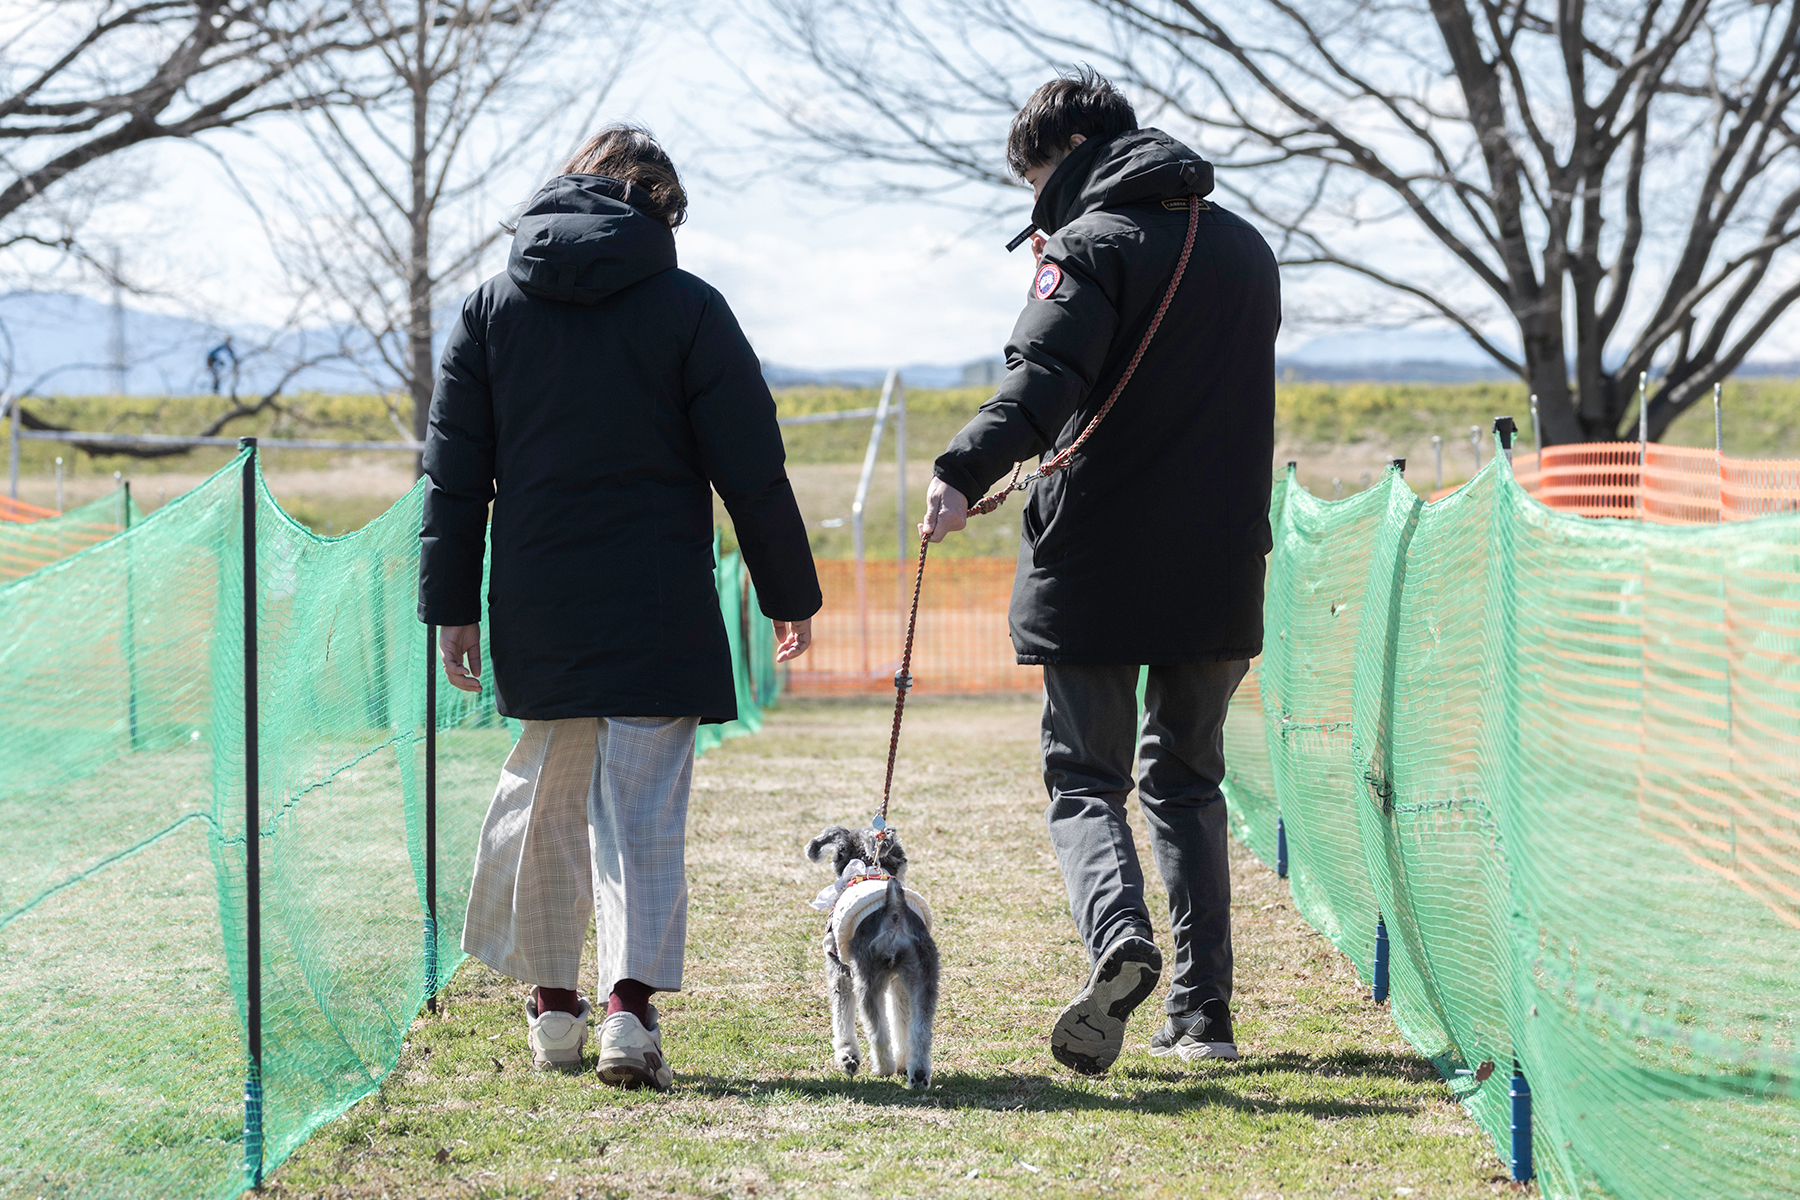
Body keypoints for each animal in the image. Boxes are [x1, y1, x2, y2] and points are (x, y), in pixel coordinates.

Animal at [806, 827, 943, 1086]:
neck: (867, 869)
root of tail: (894, 907)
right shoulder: (900, 982)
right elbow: (901, 1019)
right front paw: (903, 1062)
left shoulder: (840, 973)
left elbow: (842, 1017)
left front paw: (847, 1056)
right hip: (923, 978)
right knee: (920, 1031)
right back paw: (918, 1073)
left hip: (867, 980)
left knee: (878, 1031)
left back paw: (883, 1068)